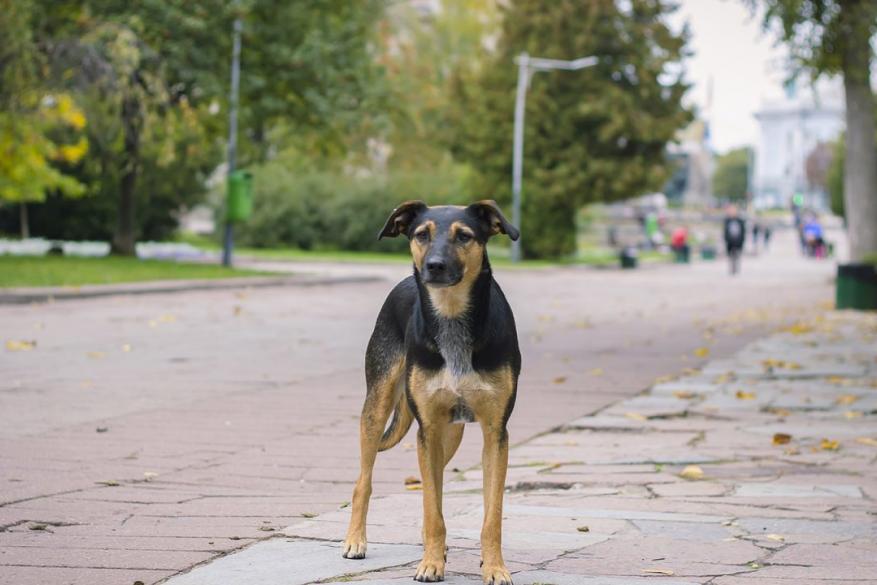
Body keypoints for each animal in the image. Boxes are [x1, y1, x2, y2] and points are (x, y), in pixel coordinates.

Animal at [342, 202, 520, 584]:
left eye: (464, 236)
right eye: (422, 234)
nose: (434, 266)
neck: (452, 317)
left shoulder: (495, 432)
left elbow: (492, 515)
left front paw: (494, 567)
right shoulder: (427, 429)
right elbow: (431, 509)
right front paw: (431, 564)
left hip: (449, 434)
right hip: (378, 408)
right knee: (364, 480)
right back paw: (355, 540)